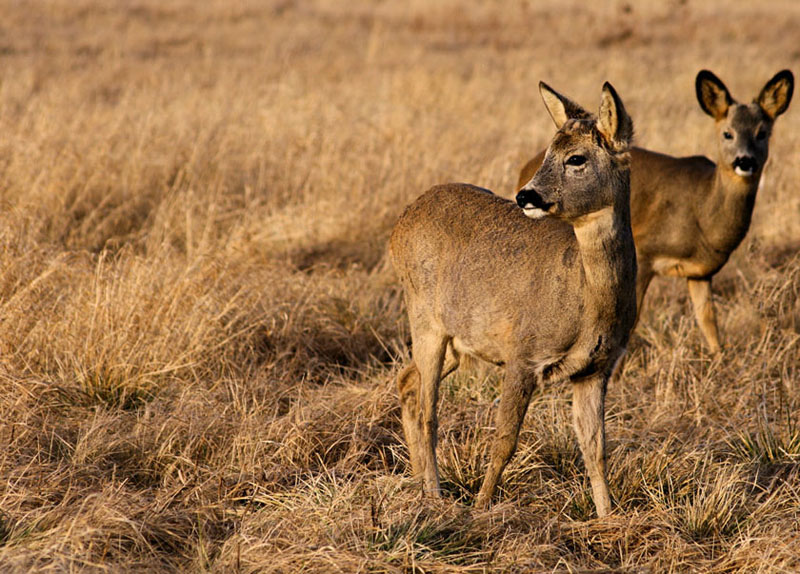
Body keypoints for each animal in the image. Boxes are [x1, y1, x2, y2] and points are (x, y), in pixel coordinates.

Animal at [390, 81, 636, 516]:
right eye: (547, 151)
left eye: (576, 158)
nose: (526, 196)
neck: (588, 299)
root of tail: (400, 223)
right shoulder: (524, 352)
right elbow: (505, 439)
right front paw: (482, 506)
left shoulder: (596, 368)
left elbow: (596, 448)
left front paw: (609, 517)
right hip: (423, 317)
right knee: (427, 410)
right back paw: (435, 494)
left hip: (459, 338)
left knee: (406, 381)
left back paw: (420, 482)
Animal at [520, 70, 792, 354]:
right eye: (727, 133)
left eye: (762, 133)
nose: (744, 161)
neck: (704, 211)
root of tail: (525, 168)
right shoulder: (645, 254)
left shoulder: (701, 273)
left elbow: (709, 324)